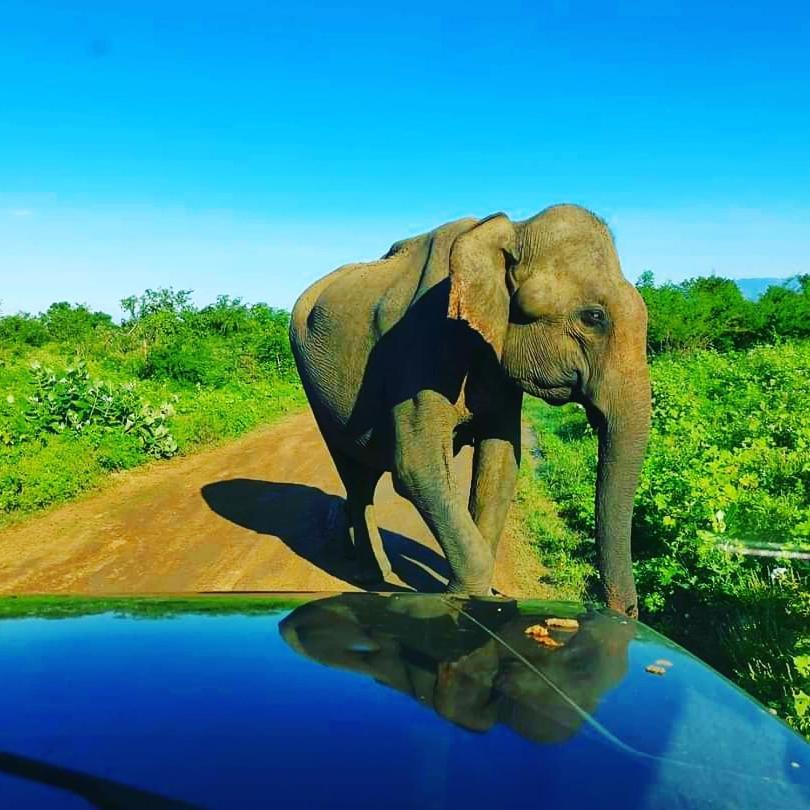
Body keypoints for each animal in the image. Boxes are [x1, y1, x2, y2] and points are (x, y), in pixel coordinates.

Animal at [290, 202, 652, 612]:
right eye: (593, 317)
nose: (625, 612)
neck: (512, 231)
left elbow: (501, 462)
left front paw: (482, 598)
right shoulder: (419, 345)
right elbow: (417, 467)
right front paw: (463, 597)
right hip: (314, 386)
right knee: (355, 473)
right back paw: (371, 575)